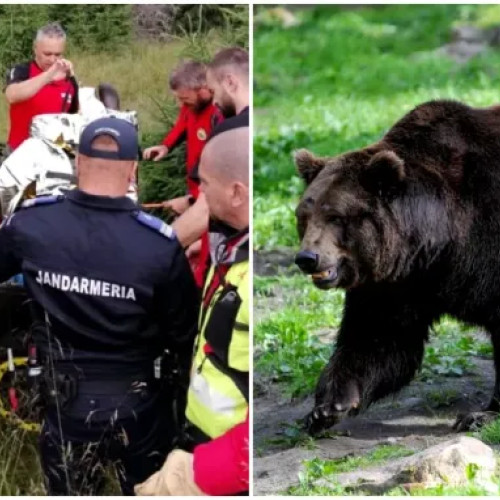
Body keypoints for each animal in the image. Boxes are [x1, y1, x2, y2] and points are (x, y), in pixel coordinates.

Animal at [294, 99, 500, 436]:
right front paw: (326, 408)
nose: (307, 258)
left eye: (335, 216)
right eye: (304, 215)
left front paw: (480, 414)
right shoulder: (398, 282)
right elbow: (379, 338)